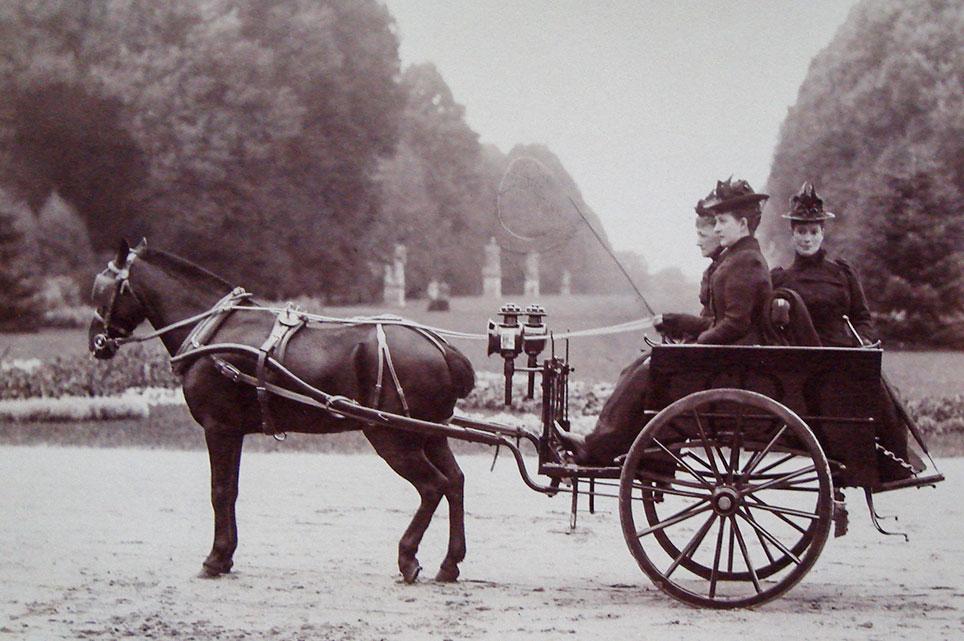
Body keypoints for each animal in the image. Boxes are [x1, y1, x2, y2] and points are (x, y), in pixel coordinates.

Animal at [90, 238, 474, 584]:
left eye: (100, 290)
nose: (97, 343)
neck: (215, 333)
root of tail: (440, 347)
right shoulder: (233, 431)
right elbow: (231, 490)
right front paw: (226, 556)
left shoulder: (219, 428)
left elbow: (220, 490)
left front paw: (216, 557)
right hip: (430, 434)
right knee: (454, 481)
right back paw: (449, 563)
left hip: (392, 437)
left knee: (432, 486)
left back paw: (408, 557)